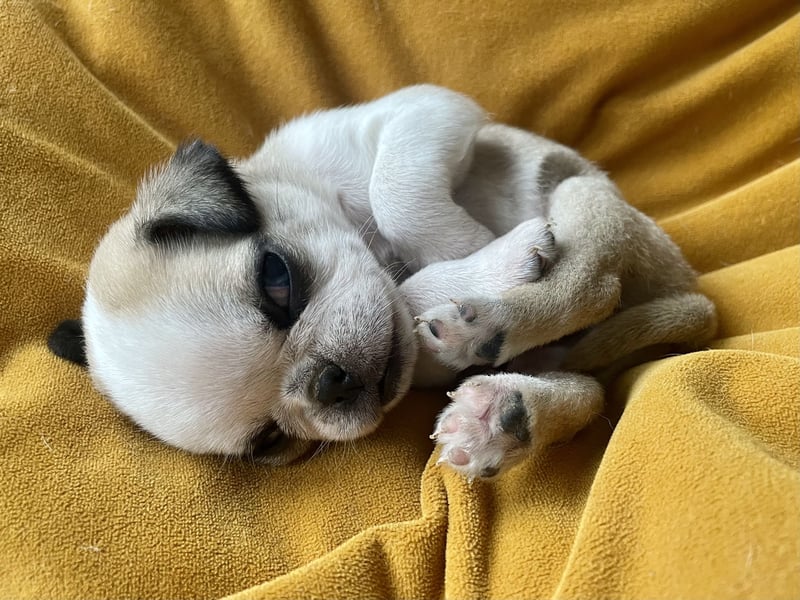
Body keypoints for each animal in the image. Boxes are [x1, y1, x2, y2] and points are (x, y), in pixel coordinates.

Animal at [47, 83, 716, 478]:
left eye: (277, 278)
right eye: (269, 440)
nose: (330, 382)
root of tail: (693, 296)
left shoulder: (423, 113)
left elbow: (396, 191)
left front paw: (470, 249)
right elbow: (411, 300)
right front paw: (472, 270)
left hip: (581, 194)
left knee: (594, 289)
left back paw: (496, 318)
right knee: (586, 388)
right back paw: (499, 412)